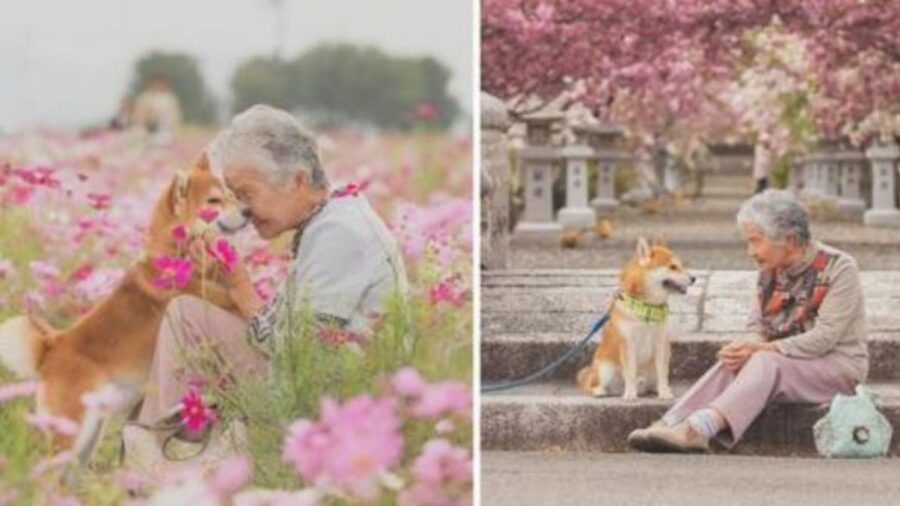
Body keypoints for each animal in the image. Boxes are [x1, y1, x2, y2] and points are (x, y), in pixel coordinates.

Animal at [0, 153, 243, 462]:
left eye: (231, 195)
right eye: (214, 201)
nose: (248, 211)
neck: (173, 258)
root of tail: (52, 346)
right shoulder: (210, 296)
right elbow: (232, 299)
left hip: (88, 435)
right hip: (71, 432)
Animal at [576, 239, 696, 402]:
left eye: (681, 265)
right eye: (672, 267)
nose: (694, 278)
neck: (647, 307)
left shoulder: (661, 342)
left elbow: (662, 372)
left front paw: (664, 392)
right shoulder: (628, 343)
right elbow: (630, 372)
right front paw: (630, 394)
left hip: (657, 364)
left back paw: (656, 388)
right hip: (604, 368)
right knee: (591, 383)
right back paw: (601, 390)